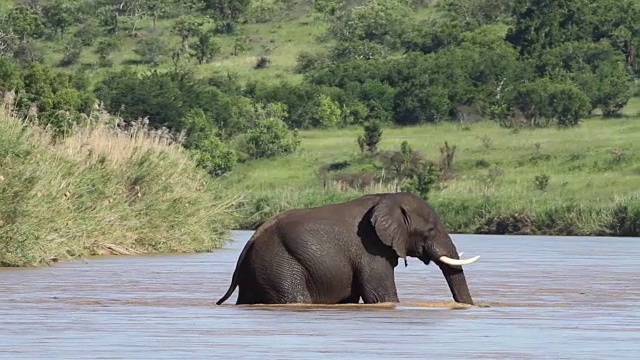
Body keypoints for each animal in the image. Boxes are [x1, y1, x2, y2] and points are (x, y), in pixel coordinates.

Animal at [216, 191, 480, 306]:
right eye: (431, 230)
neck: (388, 197)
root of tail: (250, 241)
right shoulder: (370, 250)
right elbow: (381, 296)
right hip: (279, 264)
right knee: (294, 297)